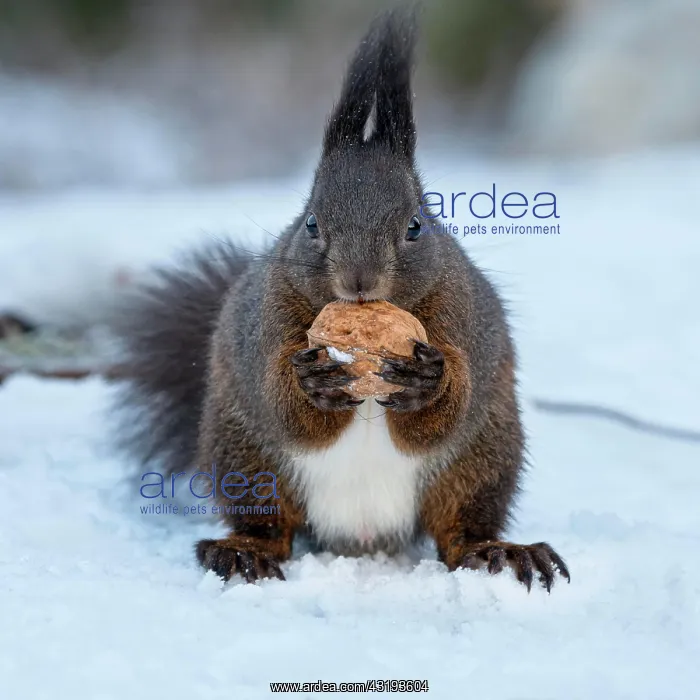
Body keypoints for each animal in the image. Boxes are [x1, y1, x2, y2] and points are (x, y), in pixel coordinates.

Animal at [113, 9, 569, 591]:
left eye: (416, 225)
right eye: (311, 223)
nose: (359, 279)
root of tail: (362, 536)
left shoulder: (461, 312)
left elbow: (446, 410)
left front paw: (428, 378)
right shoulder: (268, 318)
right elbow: (285, 407)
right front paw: (312, 379)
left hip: (483, 457)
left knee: (459, 527)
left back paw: (497, 551)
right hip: (247, 458)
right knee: (269, 523)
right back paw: (243, 551)